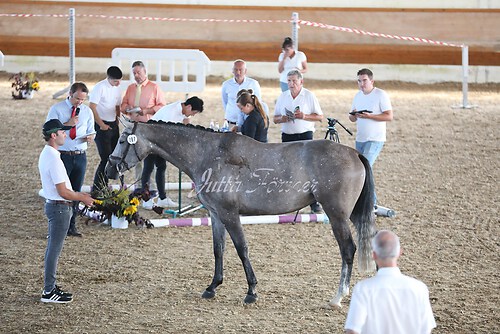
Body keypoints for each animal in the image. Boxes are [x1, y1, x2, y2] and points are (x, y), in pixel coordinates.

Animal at [107, 120, 376, 308]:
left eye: (122, 140)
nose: (110, 169)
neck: (209, 153)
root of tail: (354, 153)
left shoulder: (230, 214)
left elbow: (241, 249)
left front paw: (251, 291)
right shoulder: (216, 215)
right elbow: (219, 250)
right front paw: (212, 287)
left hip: (337, 215)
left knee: (348, 249)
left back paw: (338, 297)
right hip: (352, 214)